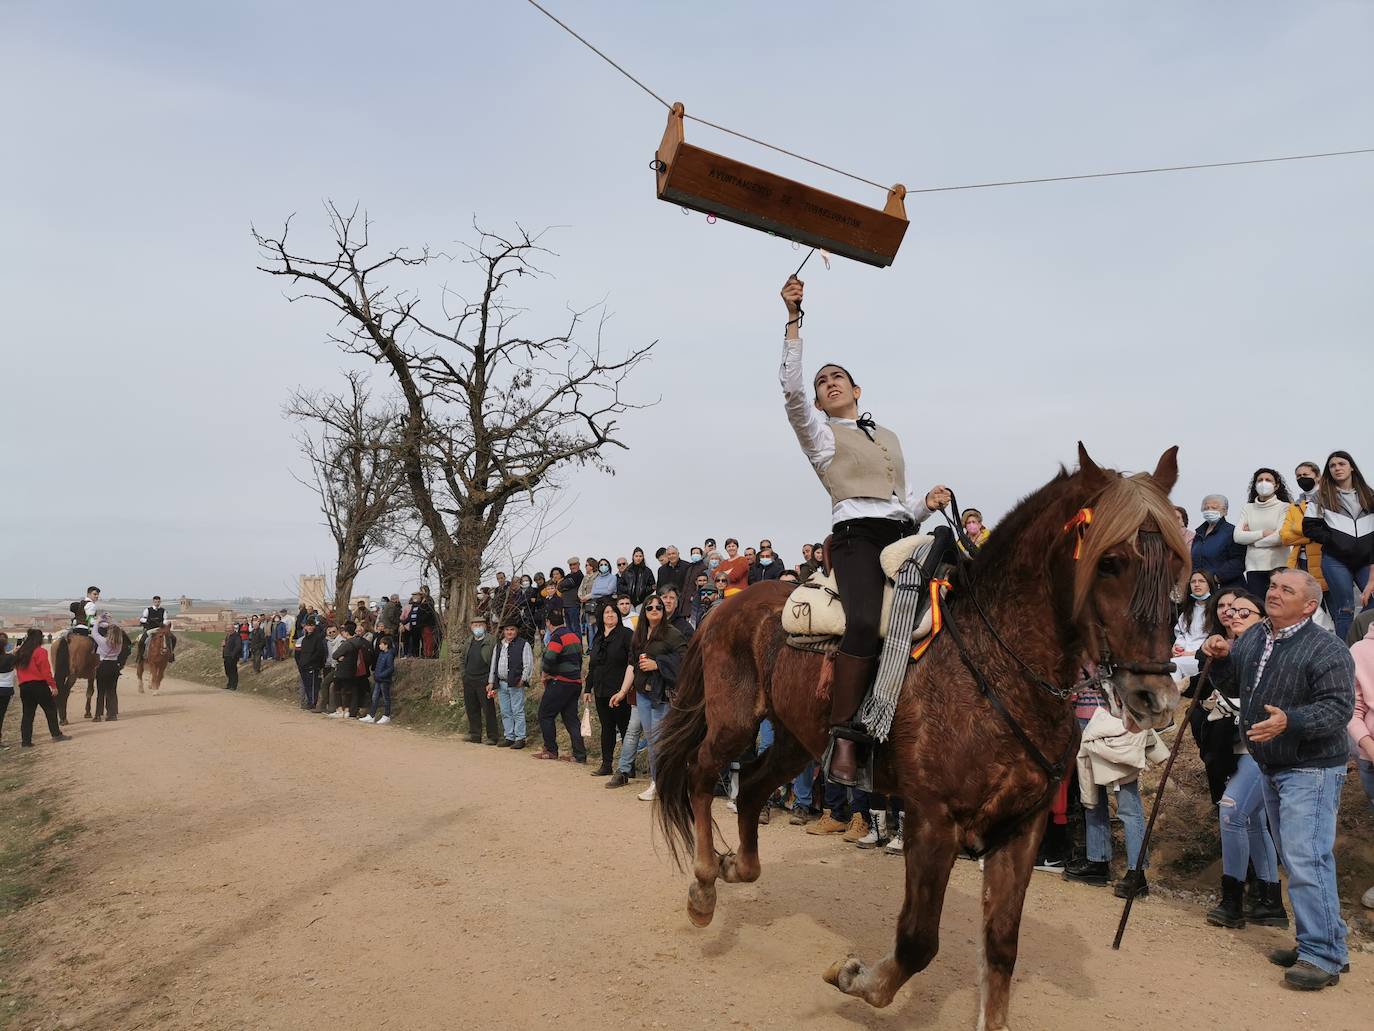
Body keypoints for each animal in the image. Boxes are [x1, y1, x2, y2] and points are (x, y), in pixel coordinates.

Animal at [648, 445, 1187, 1031]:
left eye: (1175, 564)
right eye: (1109, 562)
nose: (1155, 696)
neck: (997, 667)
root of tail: (723, 606)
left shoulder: (1021, 827)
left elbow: (1001, 947)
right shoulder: (933, 819)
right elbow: (917, 941)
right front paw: (852, 976)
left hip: (796, 740)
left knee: (747, 789)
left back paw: (734, 867)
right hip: (734, 721)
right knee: (703, 776)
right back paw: (703, 887)